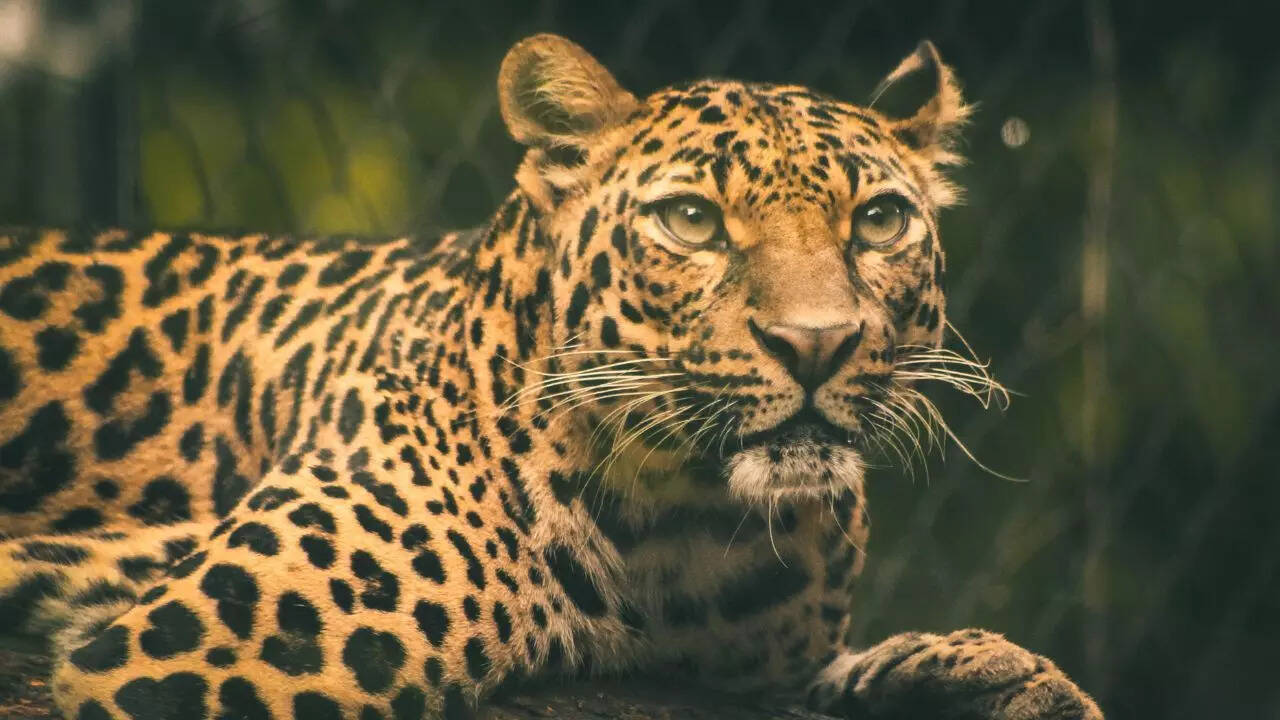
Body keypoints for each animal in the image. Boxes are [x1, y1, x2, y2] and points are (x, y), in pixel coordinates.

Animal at [0, 34, 1103, 720]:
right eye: (691, 220)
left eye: (877, 220)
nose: (816, 342)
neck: (688, 537)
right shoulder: (185, 652)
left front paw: (983, 675)